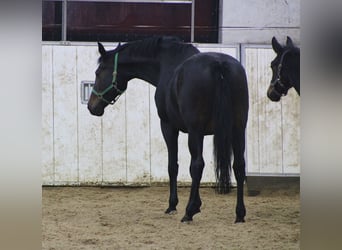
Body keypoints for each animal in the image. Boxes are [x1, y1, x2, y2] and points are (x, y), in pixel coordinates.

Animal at [87, 36, 248, 223]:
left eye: (98, 72)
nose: (91, 106)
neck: (167, 64)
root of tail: (219, 65)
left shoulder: (168, 126)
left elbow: (173, 166)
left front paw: (174, 205)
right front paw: (196, 204)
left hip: (196, 131)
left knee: (197, 165)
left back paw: (188, 212)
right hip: (238, 129)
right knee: (239, 166)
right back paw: (239, 213)